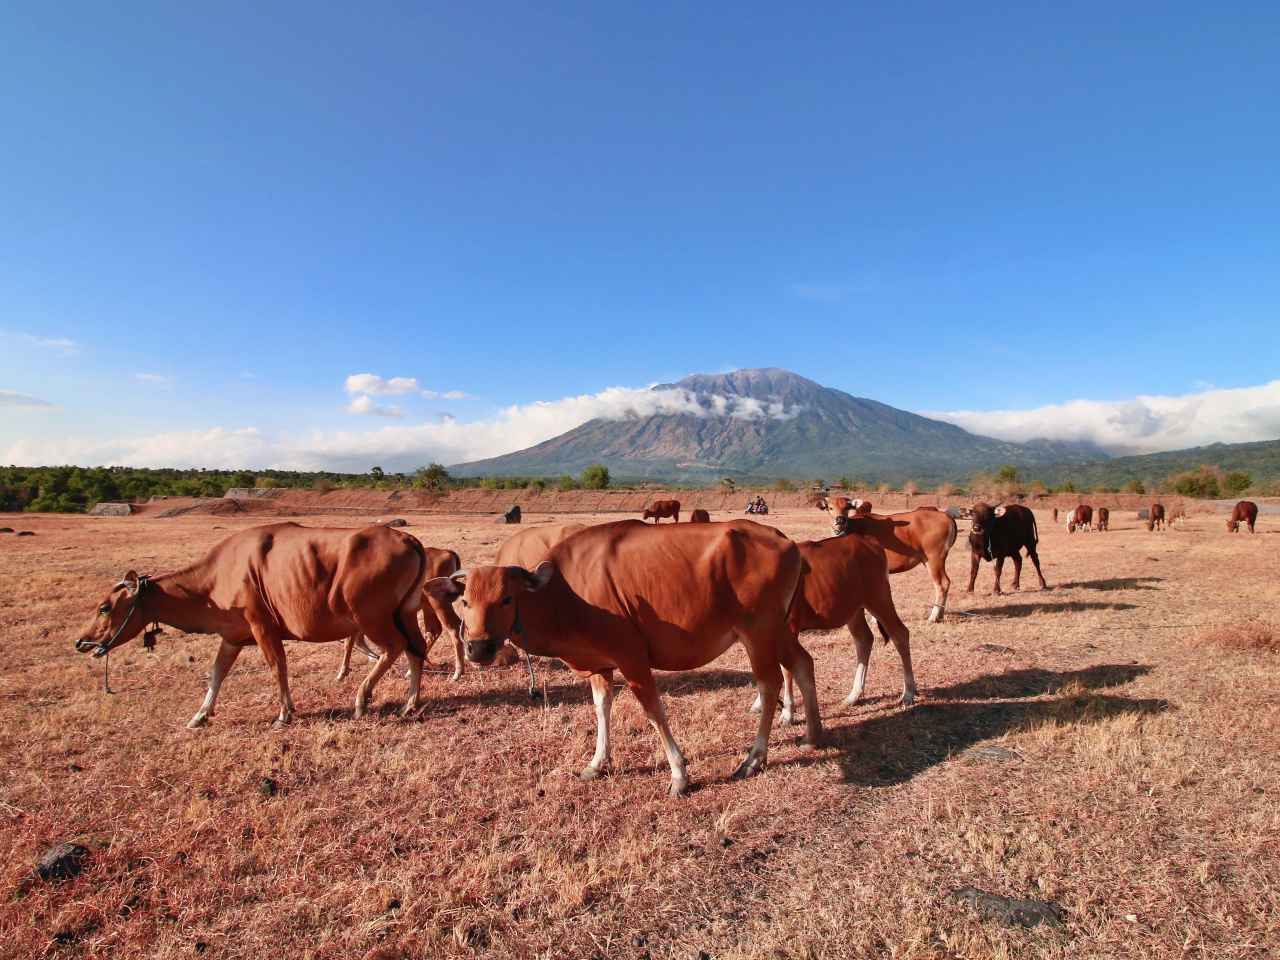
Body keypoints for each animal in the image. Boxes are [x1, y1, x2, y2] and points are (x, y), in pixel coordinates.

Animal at [77, 527, 432, 727]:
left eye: (104, 607)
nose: (81, 642)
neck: (215, 578)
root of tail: (406, 537)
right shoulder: (232, 637)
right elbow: (216, 674)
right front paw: (200, 715)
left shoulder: (263, 628)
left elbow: (278, 667)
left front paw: (284, 713)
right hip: (404, 614)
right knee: (416, 650)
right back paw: (410, 703)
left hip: (372, 618)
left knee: (395, 648)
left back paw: (362, 698)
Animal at [424, 519, 814, 798]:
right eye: (465, 601)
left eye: (506, 598)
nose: (478, 648)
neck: (565, 594)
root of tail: (785, 540)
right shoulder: (601, 664)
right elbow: (601, 708)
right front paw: (598, 763)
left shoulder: (633, 660)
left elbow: (654, 713)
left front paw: (679, 775)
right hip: (779, 631)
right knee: (803, 663)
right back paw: (813, 732)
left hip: (758, 633)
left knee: (769, 685)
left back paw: (754, 759)